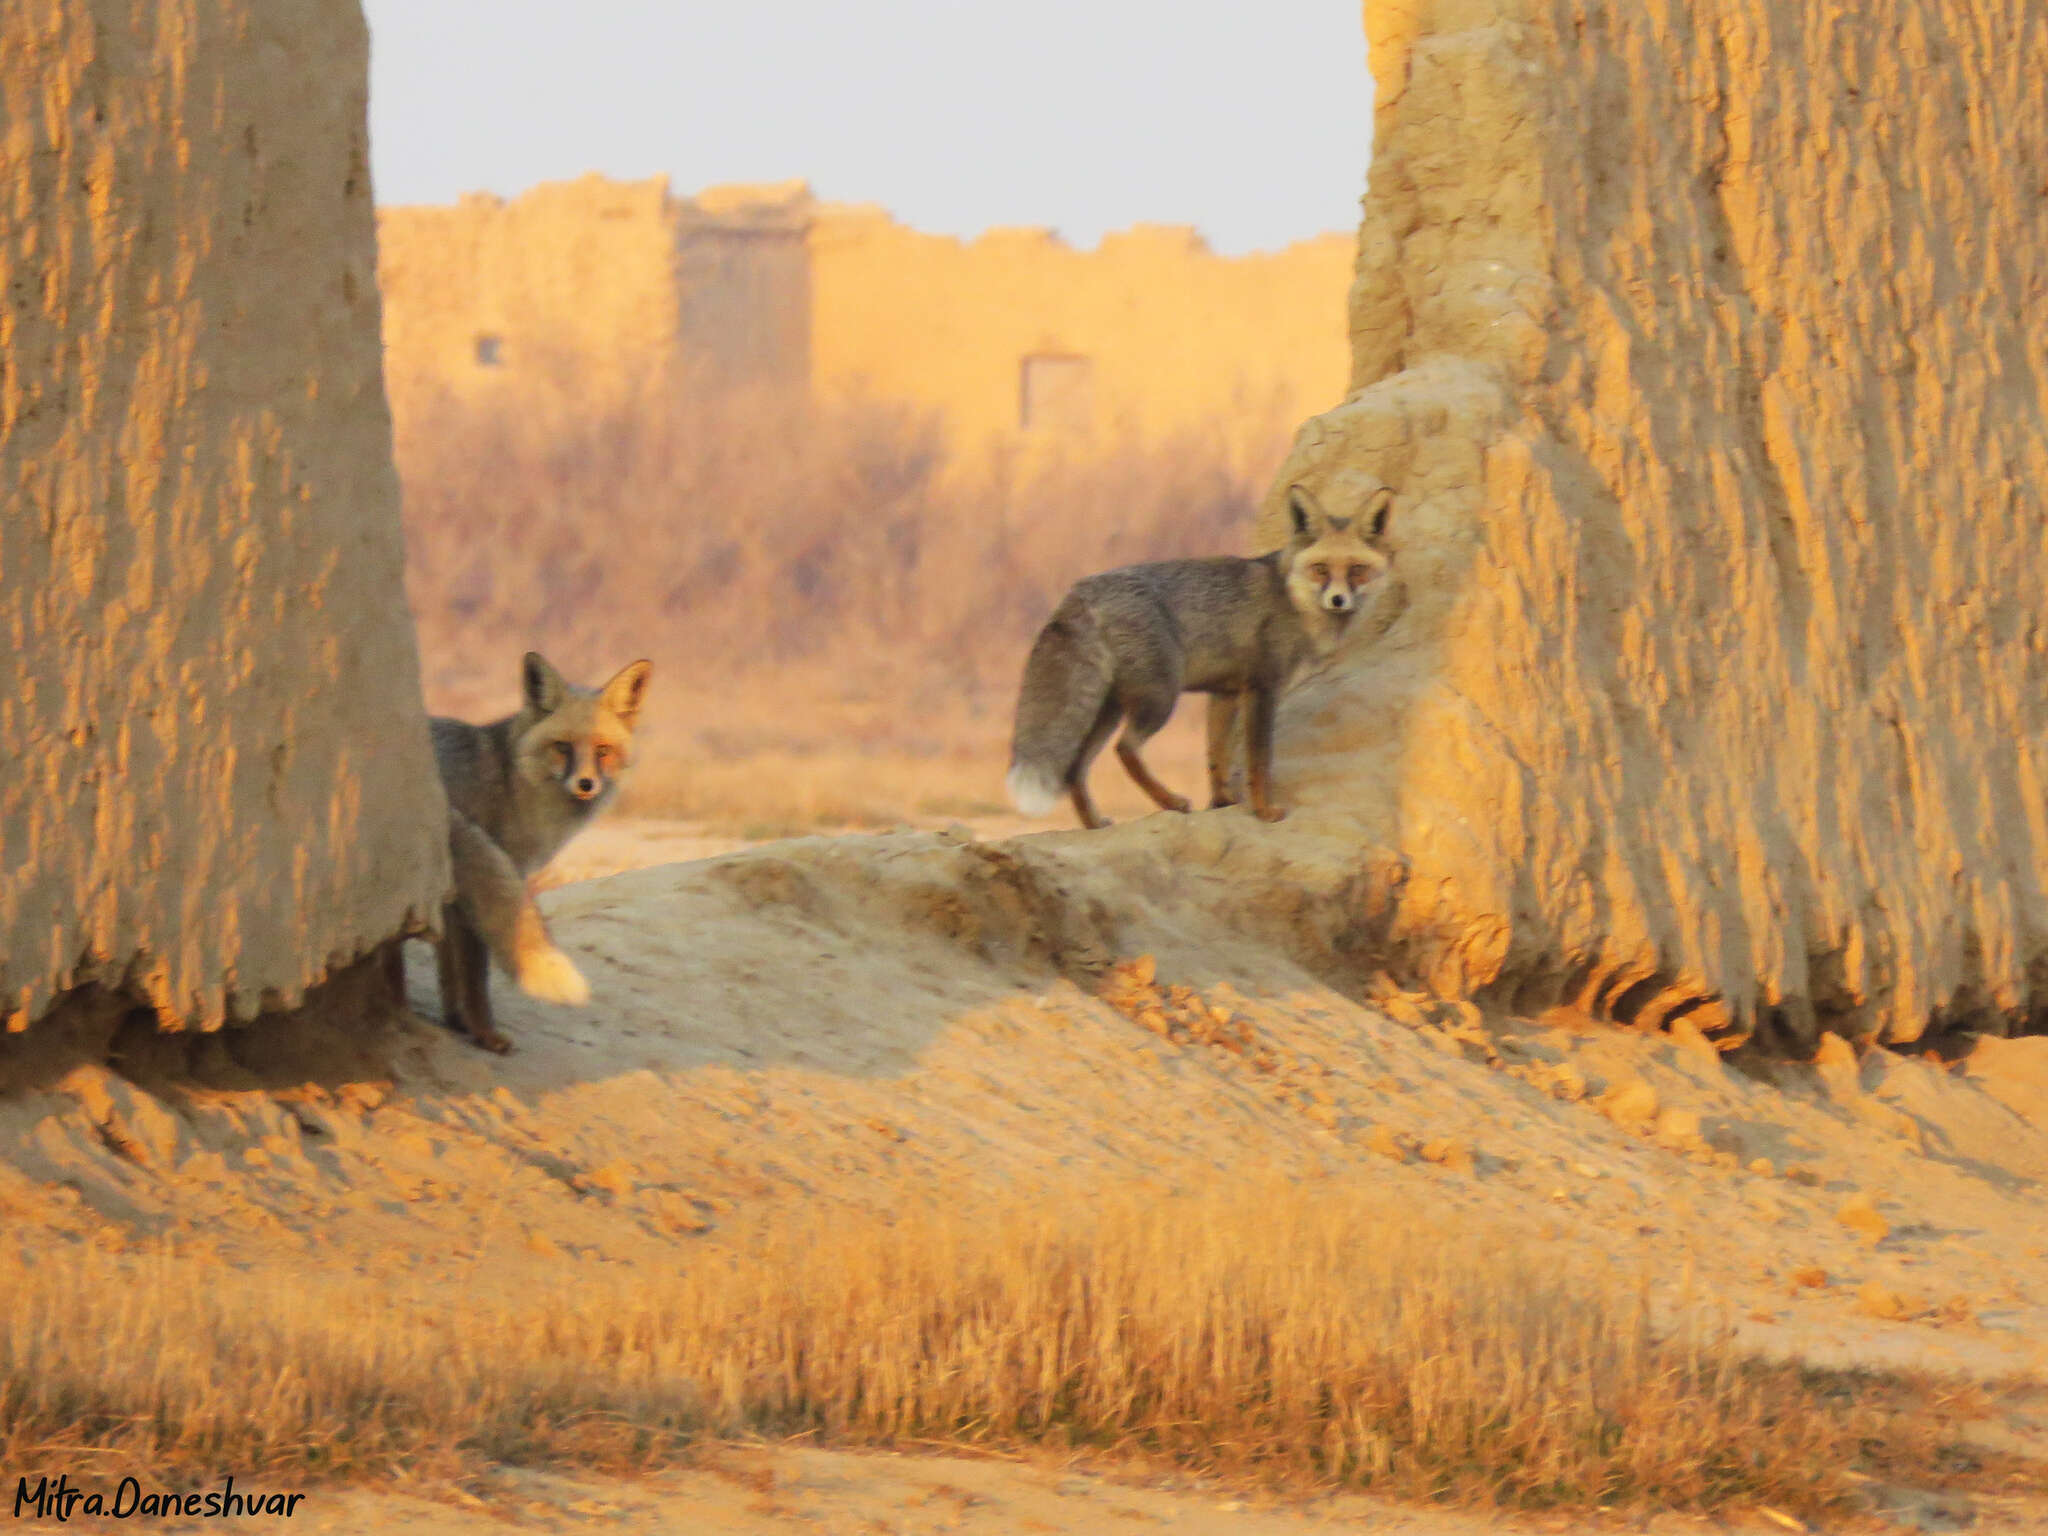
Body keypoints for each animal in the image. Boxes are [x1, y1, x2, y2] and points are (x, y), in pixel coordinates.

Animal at [395, 651, 651, 1056]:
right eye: (562, 747)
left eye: (602, 751)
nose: (586, 784)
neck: (510, 782)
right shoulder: (477, 880)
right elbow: (475, 973)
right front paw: (486, 1034)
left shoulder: (447, 889)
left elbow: (449, 968)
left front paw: (455, 1021)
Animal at [1003, 489, 1392, 835]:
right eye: (1321, 569)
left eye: (1357, 569)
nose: (1338, 600)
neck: (1292, 601)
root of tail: (1080, 589)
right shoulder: (1263, 688)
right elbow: (1258, 760)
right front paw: (1264, 812)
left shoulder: (1225, 692)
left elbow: (1216, 755)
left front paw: (1222, 803)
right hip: (1160, 697)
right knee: (1126, 749)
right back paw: (1170, 802)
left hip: (1109, 708)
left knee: (1075, 768)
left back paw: (1093, 823)